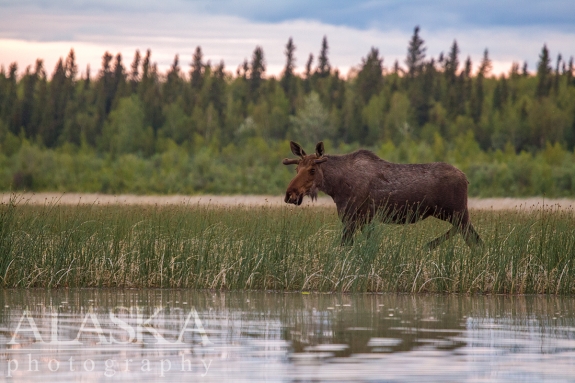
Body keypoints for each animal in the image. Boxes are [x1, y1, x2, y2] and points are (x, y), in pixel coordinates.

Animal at [284, 141, 482, 249]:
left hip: (457, 212)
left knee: (473, 238)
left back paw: (429, 245)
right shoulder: (361, 219)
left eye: (312, 170)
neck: (335, 188)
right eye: (296, 169)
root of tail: (466, 179)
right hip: (453, 214)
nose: (289, 195)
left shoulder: (354, 217)